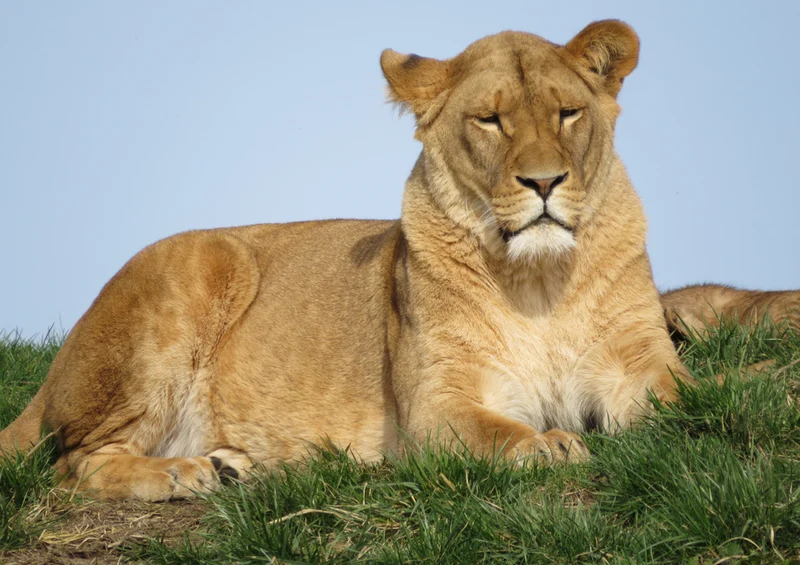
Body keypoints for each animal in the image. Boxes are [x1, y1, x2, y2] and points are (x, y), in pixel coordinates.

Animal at [1, 20, 798, 501]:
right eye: (491, 119)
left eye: (568, 112)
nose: (544, 183)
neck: (539, 281)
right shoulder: (436, 406)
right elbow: (501, 433)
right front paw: (549, 447)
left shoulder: (640, 365)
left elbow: (695, 398)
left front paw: (753, 394)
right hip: (197, 267)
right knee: (73, 460)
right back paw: (186, 471)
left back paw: (228, 464)